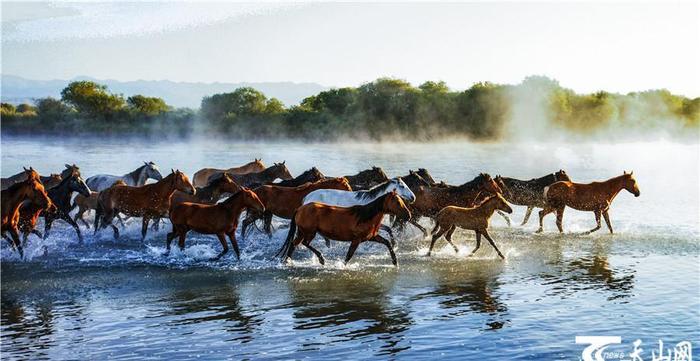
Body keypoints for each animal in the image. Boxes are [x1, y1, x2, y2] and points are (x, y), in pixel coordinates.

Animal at [278, 190, 410, 266]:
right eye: (397, 202)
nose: (408, 215)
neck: (365, 217)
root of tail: (299, 209)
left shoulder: (371, 237)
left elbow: (387, 242)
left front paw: (395, 262)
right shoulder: (356, 239)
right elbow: (349, 255)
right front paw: (342, 266)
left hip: (302, 232)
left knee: (294, 244)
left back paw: (287, 261)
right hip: (309, 232)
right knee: (304, 243)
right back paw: (321, 259)